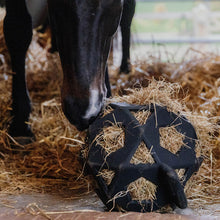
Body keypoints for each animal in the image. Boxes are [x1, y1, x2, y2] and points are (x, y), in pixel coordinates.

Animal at [3, 0, 135, 143]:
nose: (83, 112)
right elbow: (18, 29)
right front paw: (20, 125)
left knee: (128, 16)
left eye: (114, 3)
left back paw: (125, 67)